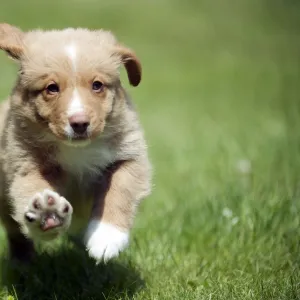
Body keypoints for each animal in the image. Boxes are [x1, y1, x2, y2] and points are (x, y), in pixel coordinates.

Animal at [0, 23, 151, 262]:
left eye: (97, 85)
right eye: (52, 88)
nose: (79, 123)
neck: (79, 149)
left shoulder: (130, 155)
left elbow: (120, 189)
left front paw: (106, 238)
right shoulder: (24, 164)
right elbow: (32, 189)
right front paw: (48, 213)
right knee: (15, 232)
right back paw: (23, 260)